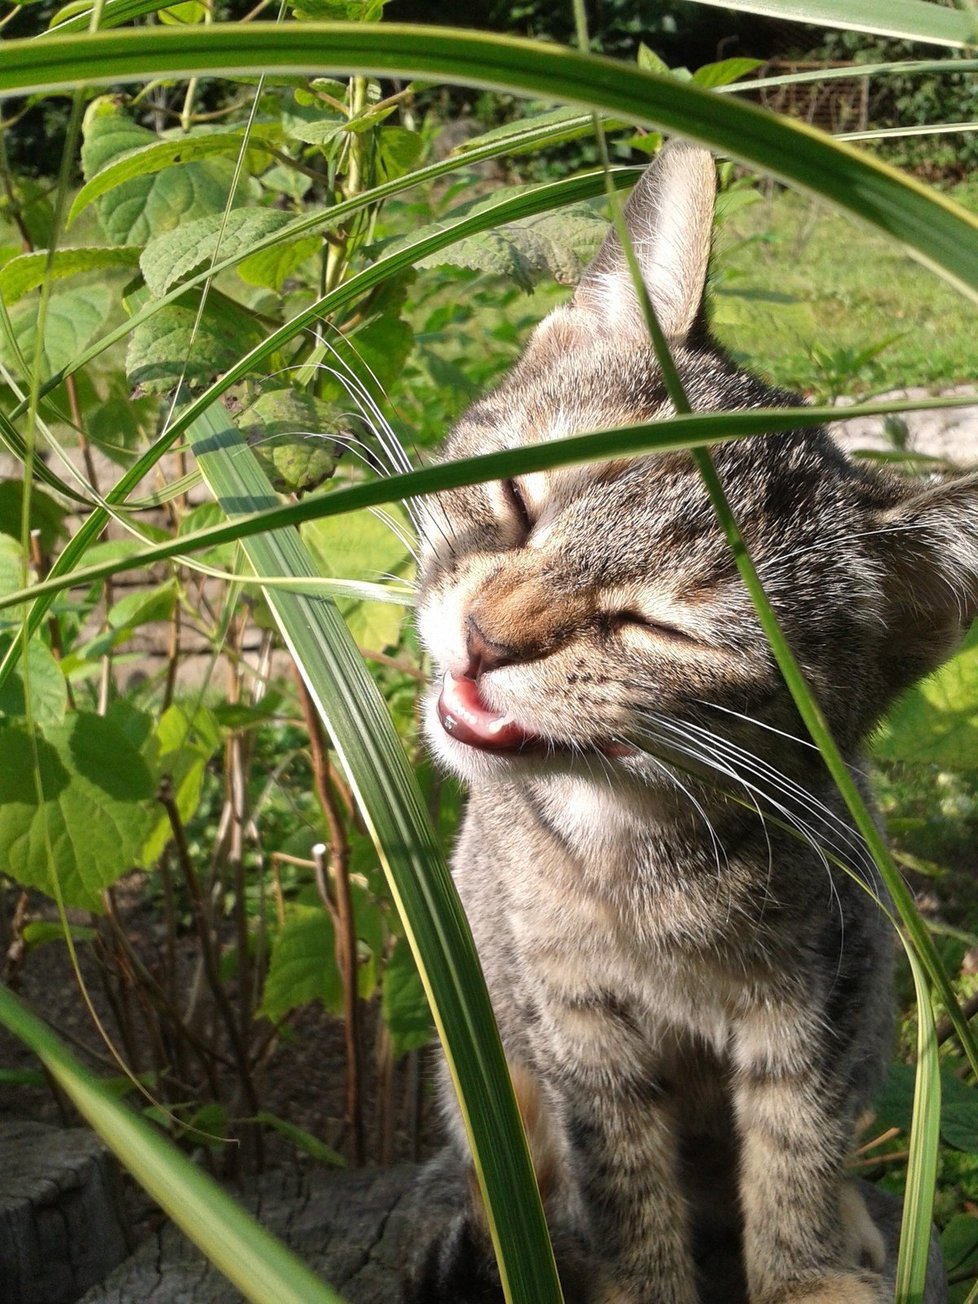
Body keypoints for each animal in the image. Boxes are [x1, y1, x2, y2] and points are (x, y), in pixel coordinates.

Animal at [401, 142, 975, 1304]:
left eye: (656, 625)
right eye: (517, 498)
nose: (482, 639)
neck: (641, 853)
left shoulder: (821, 1004)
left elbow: (798, 1144)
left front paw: (802, 1270)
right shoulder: (575, 1025)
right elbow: (619, 1177)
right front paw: (639, 1278)